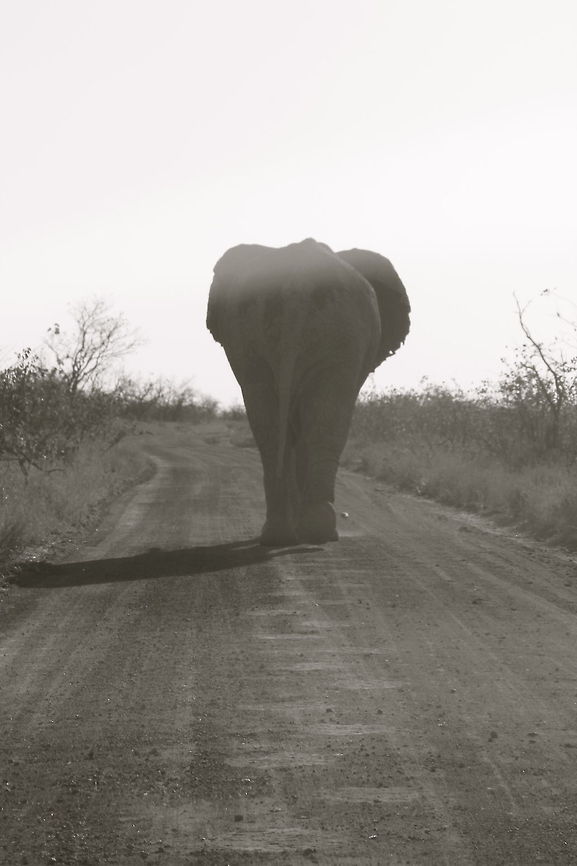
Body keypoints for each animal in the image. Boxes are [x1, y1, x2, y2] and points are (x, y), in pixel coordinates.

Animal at [206, 238, 410, 546]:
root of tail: (296, 283)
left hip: (253, 334)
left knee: (268, 425)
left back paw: (279, 535)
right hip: (340, 335)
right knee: (326, 420)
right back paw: (321, 533)